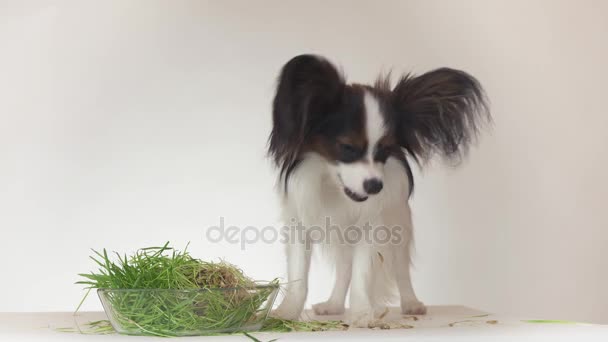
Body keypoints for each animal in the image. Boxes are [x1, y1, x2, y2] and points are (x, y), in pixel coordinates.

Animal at [266, 54, 490, 326]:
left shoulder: (373, 227)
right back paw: (334, 305)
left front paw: (362, 315)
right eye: (347, 147)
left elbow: (362, 275)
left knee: (401, 269)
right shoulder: (300, 225)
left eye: (385, 150)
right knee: (344, 268)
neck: (336, 190)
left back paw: (411, 303)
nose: (375, 186)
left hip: (399, 226)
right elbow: (299, 277)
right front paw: (286, 313)